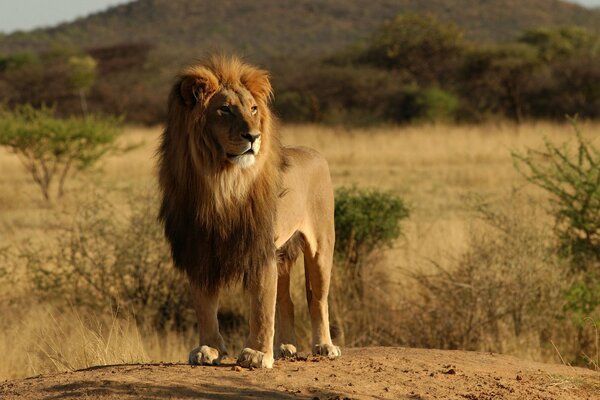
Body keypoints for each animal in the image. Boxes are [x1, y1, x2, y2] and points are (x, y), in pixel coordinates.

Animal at [157, 55, 340, 368]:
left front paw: (256, 353)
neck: (221, 182)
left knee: (317, 299)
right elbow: (205, 305)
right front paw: (208, 349)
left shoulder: (259, 248)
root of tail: (314, 152)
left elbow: (261, 306)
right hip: (283, 253)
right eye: (225, 109)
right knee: (287, 300)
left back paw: (324, 346)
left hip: (321, 246)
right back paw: (286, 347)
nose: (253, 136)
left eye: (253, 109)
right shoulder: (199, 248)